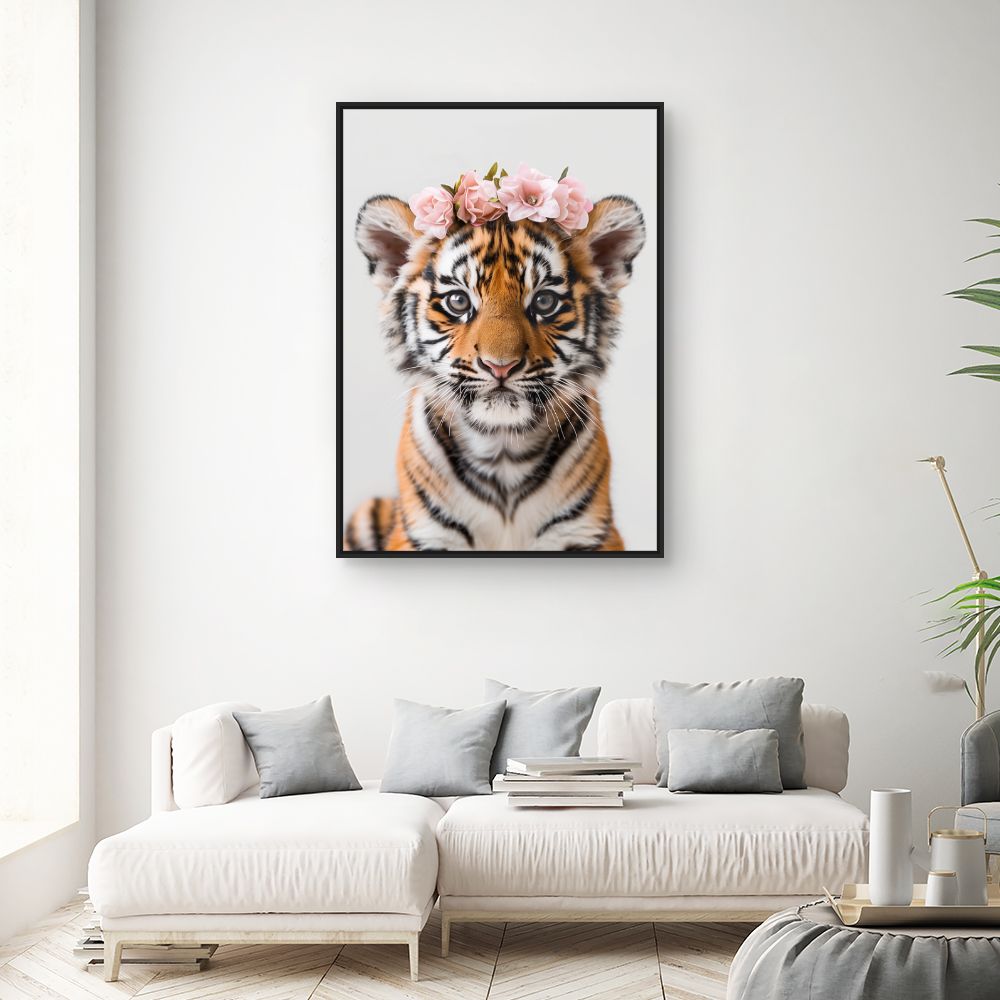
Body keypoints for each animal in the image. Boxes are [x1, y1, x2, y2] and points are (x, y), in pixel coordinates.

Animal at [344, 192, 646, 552]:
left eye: (544, 302)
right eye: (458, 301)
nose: (500, 365)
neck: (503, 451)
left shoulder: (587, 533)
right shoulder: (423, 535)